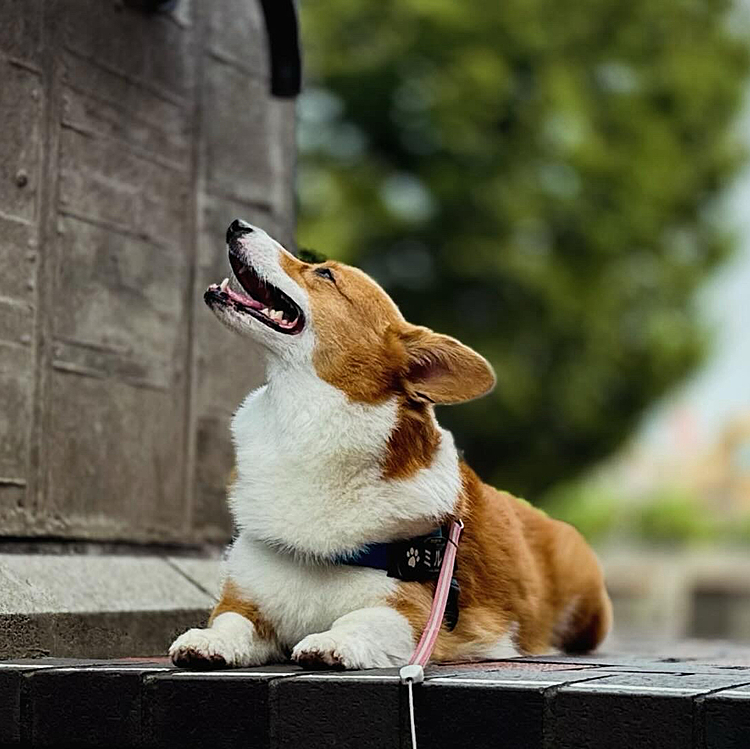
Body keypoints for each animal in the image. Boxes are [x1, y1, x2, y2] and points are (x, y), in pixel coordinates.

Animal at [169, 219, 612, 668]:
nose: (237, 225)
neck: (304, 420)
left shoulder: (419, 612)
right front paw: (206, 642)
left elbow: (362, 618)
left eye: (324, 274)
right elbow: (230, 622)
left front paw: (330, 643)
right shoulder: (242, 599)